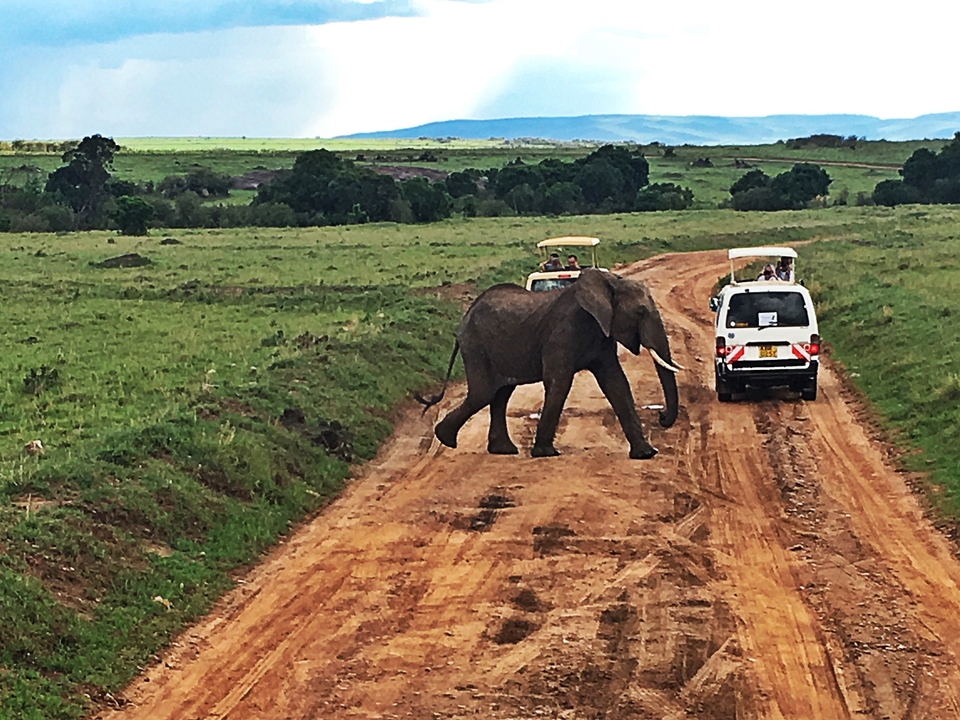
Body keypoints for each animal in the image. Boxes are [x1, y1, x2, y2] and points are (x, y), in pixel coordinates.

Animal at [416, 268, 682, 459]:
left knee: (500, 394)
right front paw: (545, 454)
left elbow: (616, 383)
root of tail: (462, 320)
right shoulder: (562, 332)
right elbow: (559, 382)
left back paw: (502, 450)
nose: (661, 417)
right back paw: (445, 438)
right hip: (476, 345)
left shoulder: (602, 334)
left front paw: (646, 454)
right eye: (640, 313)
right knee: (484, 393)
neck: (608, 283)